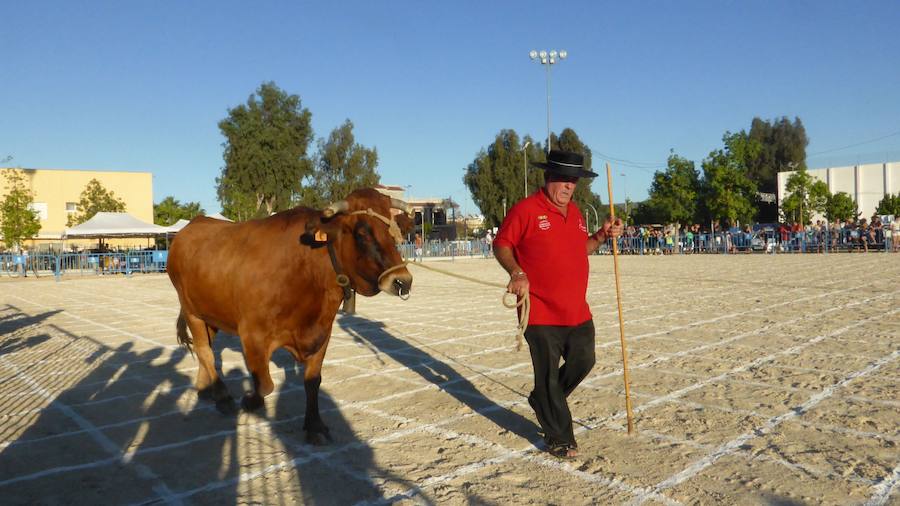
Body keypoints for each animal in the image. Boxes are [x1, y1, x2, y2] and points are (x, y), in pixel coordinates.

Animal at [167, 188, 413, 443]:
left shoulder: (322, 334)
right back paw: (223, 396)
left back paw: (205, 389)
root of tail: (193, 224)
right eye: (362, 233)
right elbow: (265, 384)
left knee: (205, 347)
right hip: (191, 310)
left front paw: (314, 426)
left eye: (395, 231)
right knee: (205, 350)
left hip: (211, 313)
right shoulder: (252, 336)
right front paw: (250, 400)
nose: (402, 281)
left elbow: (313, 382)